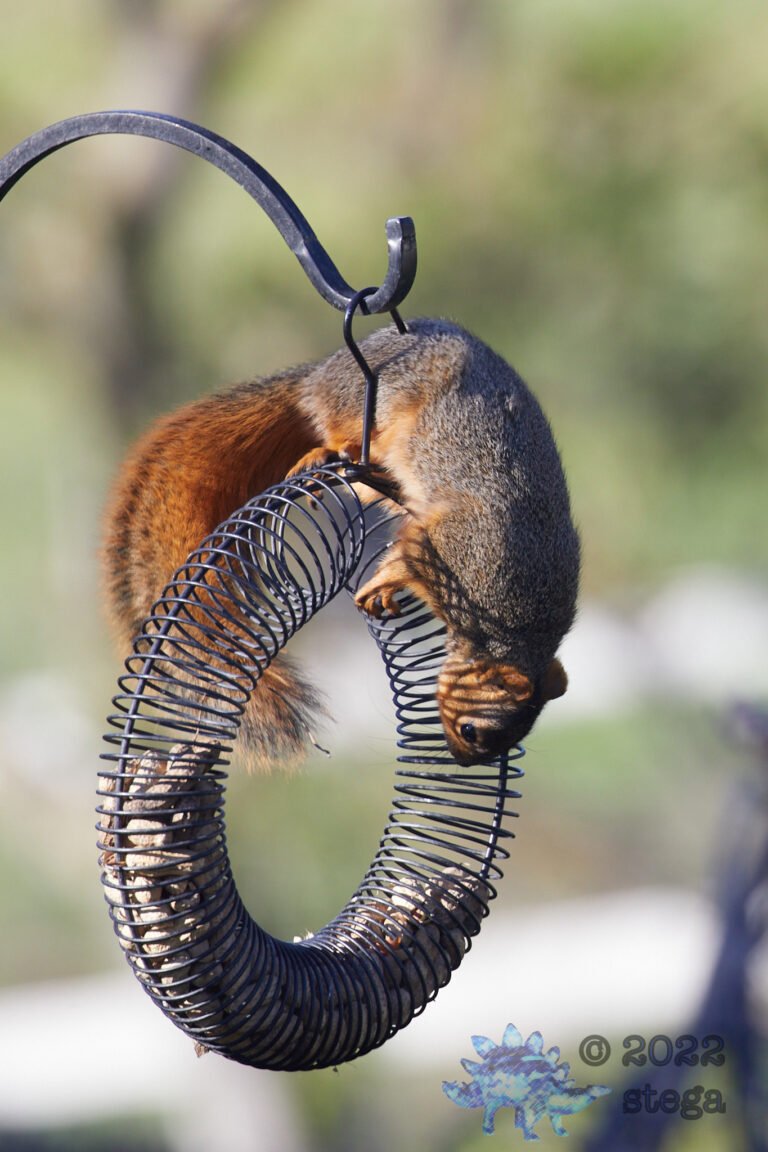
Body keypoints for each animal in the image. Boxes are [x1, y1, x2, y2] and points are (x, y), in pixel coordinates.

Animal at [103, 318, 580, 769]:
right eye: (471, 730)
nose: (461, 760)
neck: (517, 626)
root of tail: (326, 369)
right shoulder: (458, 545)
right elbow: (406, 556)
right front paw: (382, 584)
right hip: (372, 398)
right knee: (337, 425)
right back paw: (326, 451)